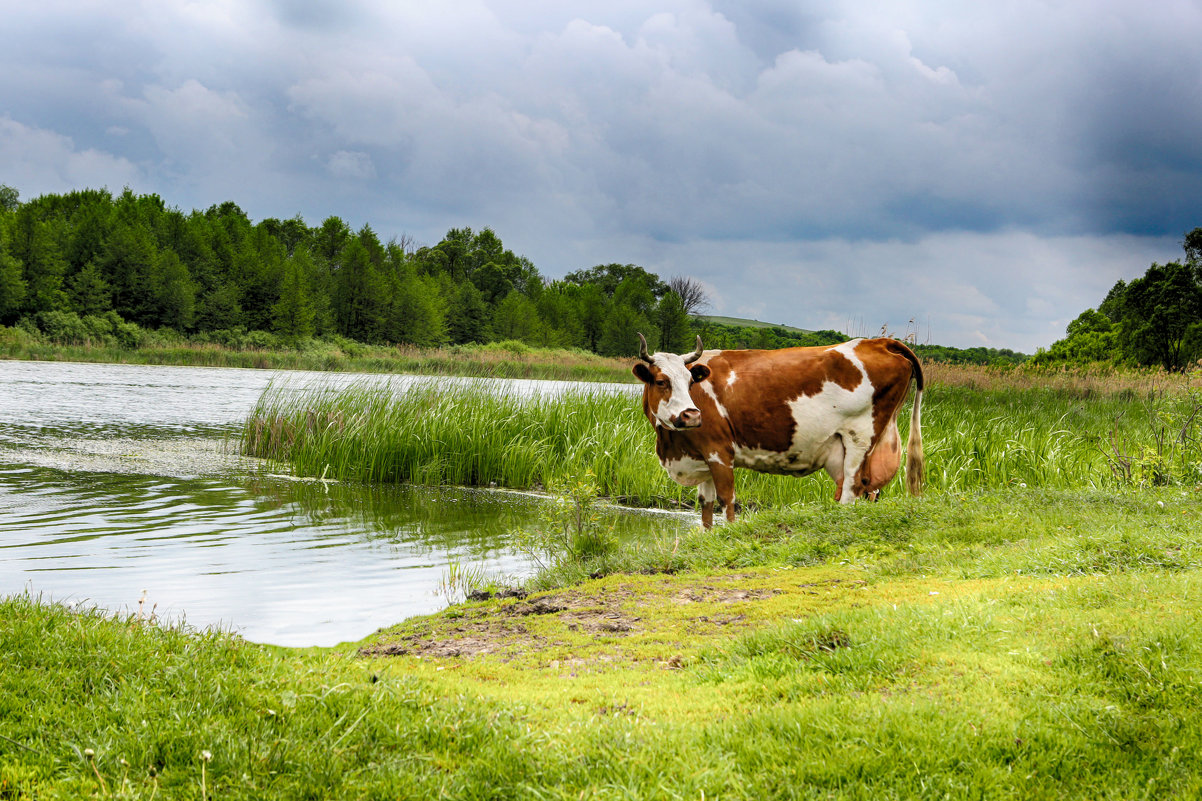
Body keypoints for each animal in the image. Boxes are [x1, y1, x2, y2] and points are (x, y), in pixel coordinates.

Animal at [634, 331, 923, 526]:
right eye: (661, 381)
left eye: (690, 381)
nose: (692, 415)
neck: (672, 446)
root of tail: (879, 341)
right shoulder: (702, 456)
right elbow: (705, 505)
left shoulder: (719, 451)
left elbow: (726, 500)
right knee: (865, 490)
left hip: (860, 438)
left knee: (852, 488)